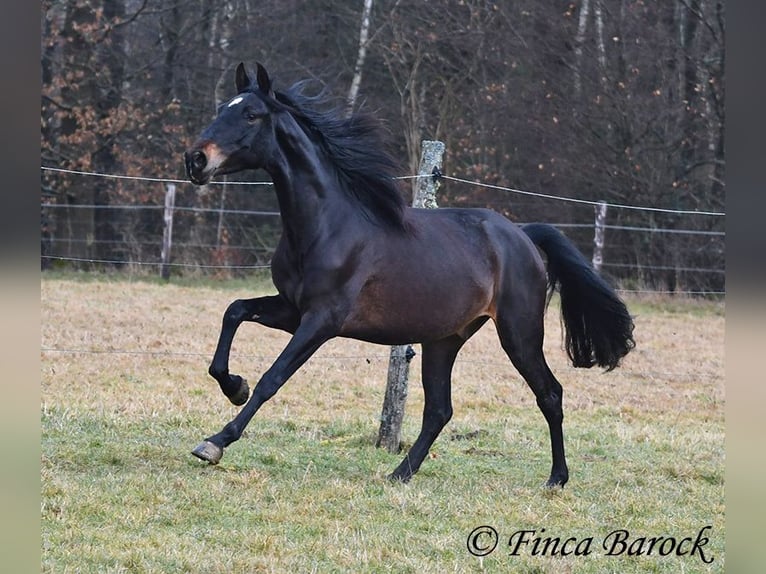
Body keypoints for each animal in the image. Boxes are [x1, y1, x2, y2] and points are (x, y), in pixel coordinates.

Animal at [186, 63, 636, 486]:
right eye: (223, 109)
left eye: (251, 115)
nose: (196, 160)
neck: (327, 225)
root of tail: (522, 235)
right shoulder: (292, 309)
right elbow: (234, 311)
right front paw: (233, 385)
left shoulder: (322, 320)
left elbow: (272, 378)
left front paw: (215, 442)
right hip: (444, 339)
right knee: (439, 409)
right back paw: (400, 472)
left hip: (519, 333)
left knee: (550, 393)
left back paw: (556, 477)